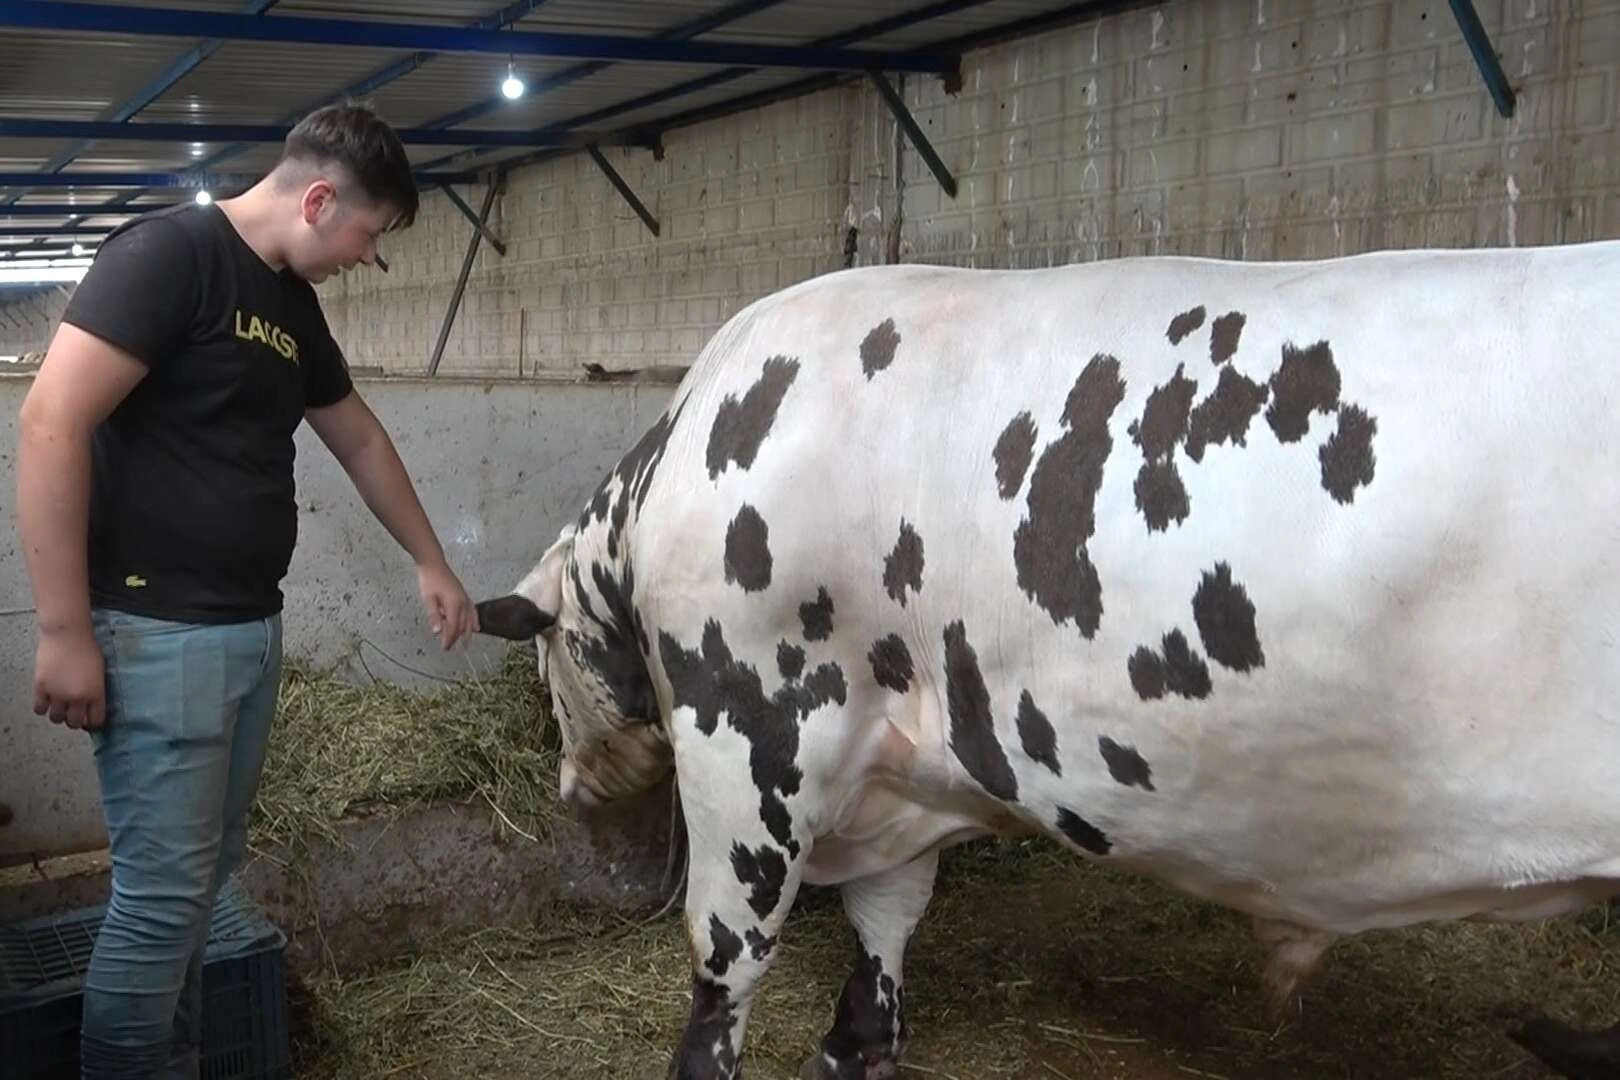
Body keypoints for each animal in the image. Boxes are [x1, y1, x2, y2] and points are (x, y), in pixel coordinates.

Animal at [473, 242, 1620, 1080]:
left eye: (544, 668)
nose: (571, 788)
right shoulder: (899, 746)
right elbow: (888, 914)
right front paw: (856, 1045)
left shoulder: (752, 726)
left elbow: (726, 951)